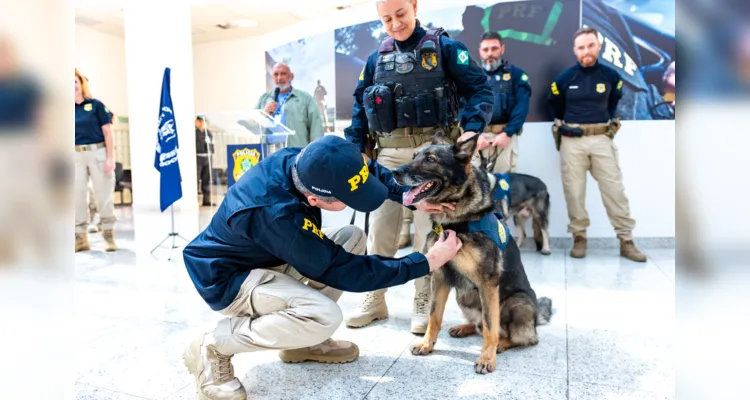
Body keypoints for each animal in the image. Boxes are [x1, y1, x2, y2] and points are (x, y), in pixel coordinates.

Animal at [394, 133, 552, 374]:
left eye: (430, 159)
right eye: (414, 156)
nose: (394, 172)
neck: (456, 222)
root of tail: (536, 318)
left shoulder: (487, 284)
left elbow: (489, 326)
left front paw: (486, 358)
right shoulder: (440, 279)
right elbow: (434, 317)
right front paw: (427, 344)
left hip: (518, 302)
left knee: (521, 337)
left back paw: (501, 345)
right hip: (464, 296)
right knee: (478, 325)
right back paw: (464, 328)